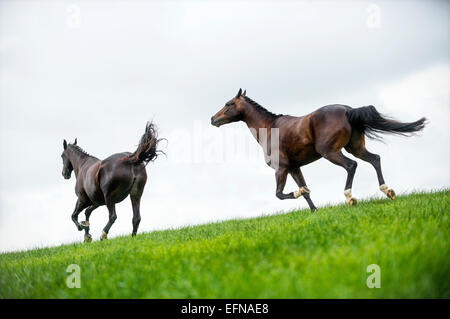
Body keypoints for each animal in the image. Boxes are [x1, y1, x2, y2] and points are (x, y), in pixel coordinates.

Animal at [211, 89, 426, 211]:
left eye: (228, 104)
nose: (213, 119)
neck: (270, 128)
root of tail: (347, 110)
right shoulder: (294, 168)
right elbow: (306, 192)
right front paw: (314, 211)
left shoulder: (281, 169)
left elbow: (281, 194)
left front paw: (298, 193)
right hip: (355, 147)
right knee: (375, 159)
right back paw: (388, 191)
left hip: (330, 152)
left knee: (351, 165)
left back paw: (350, 198)